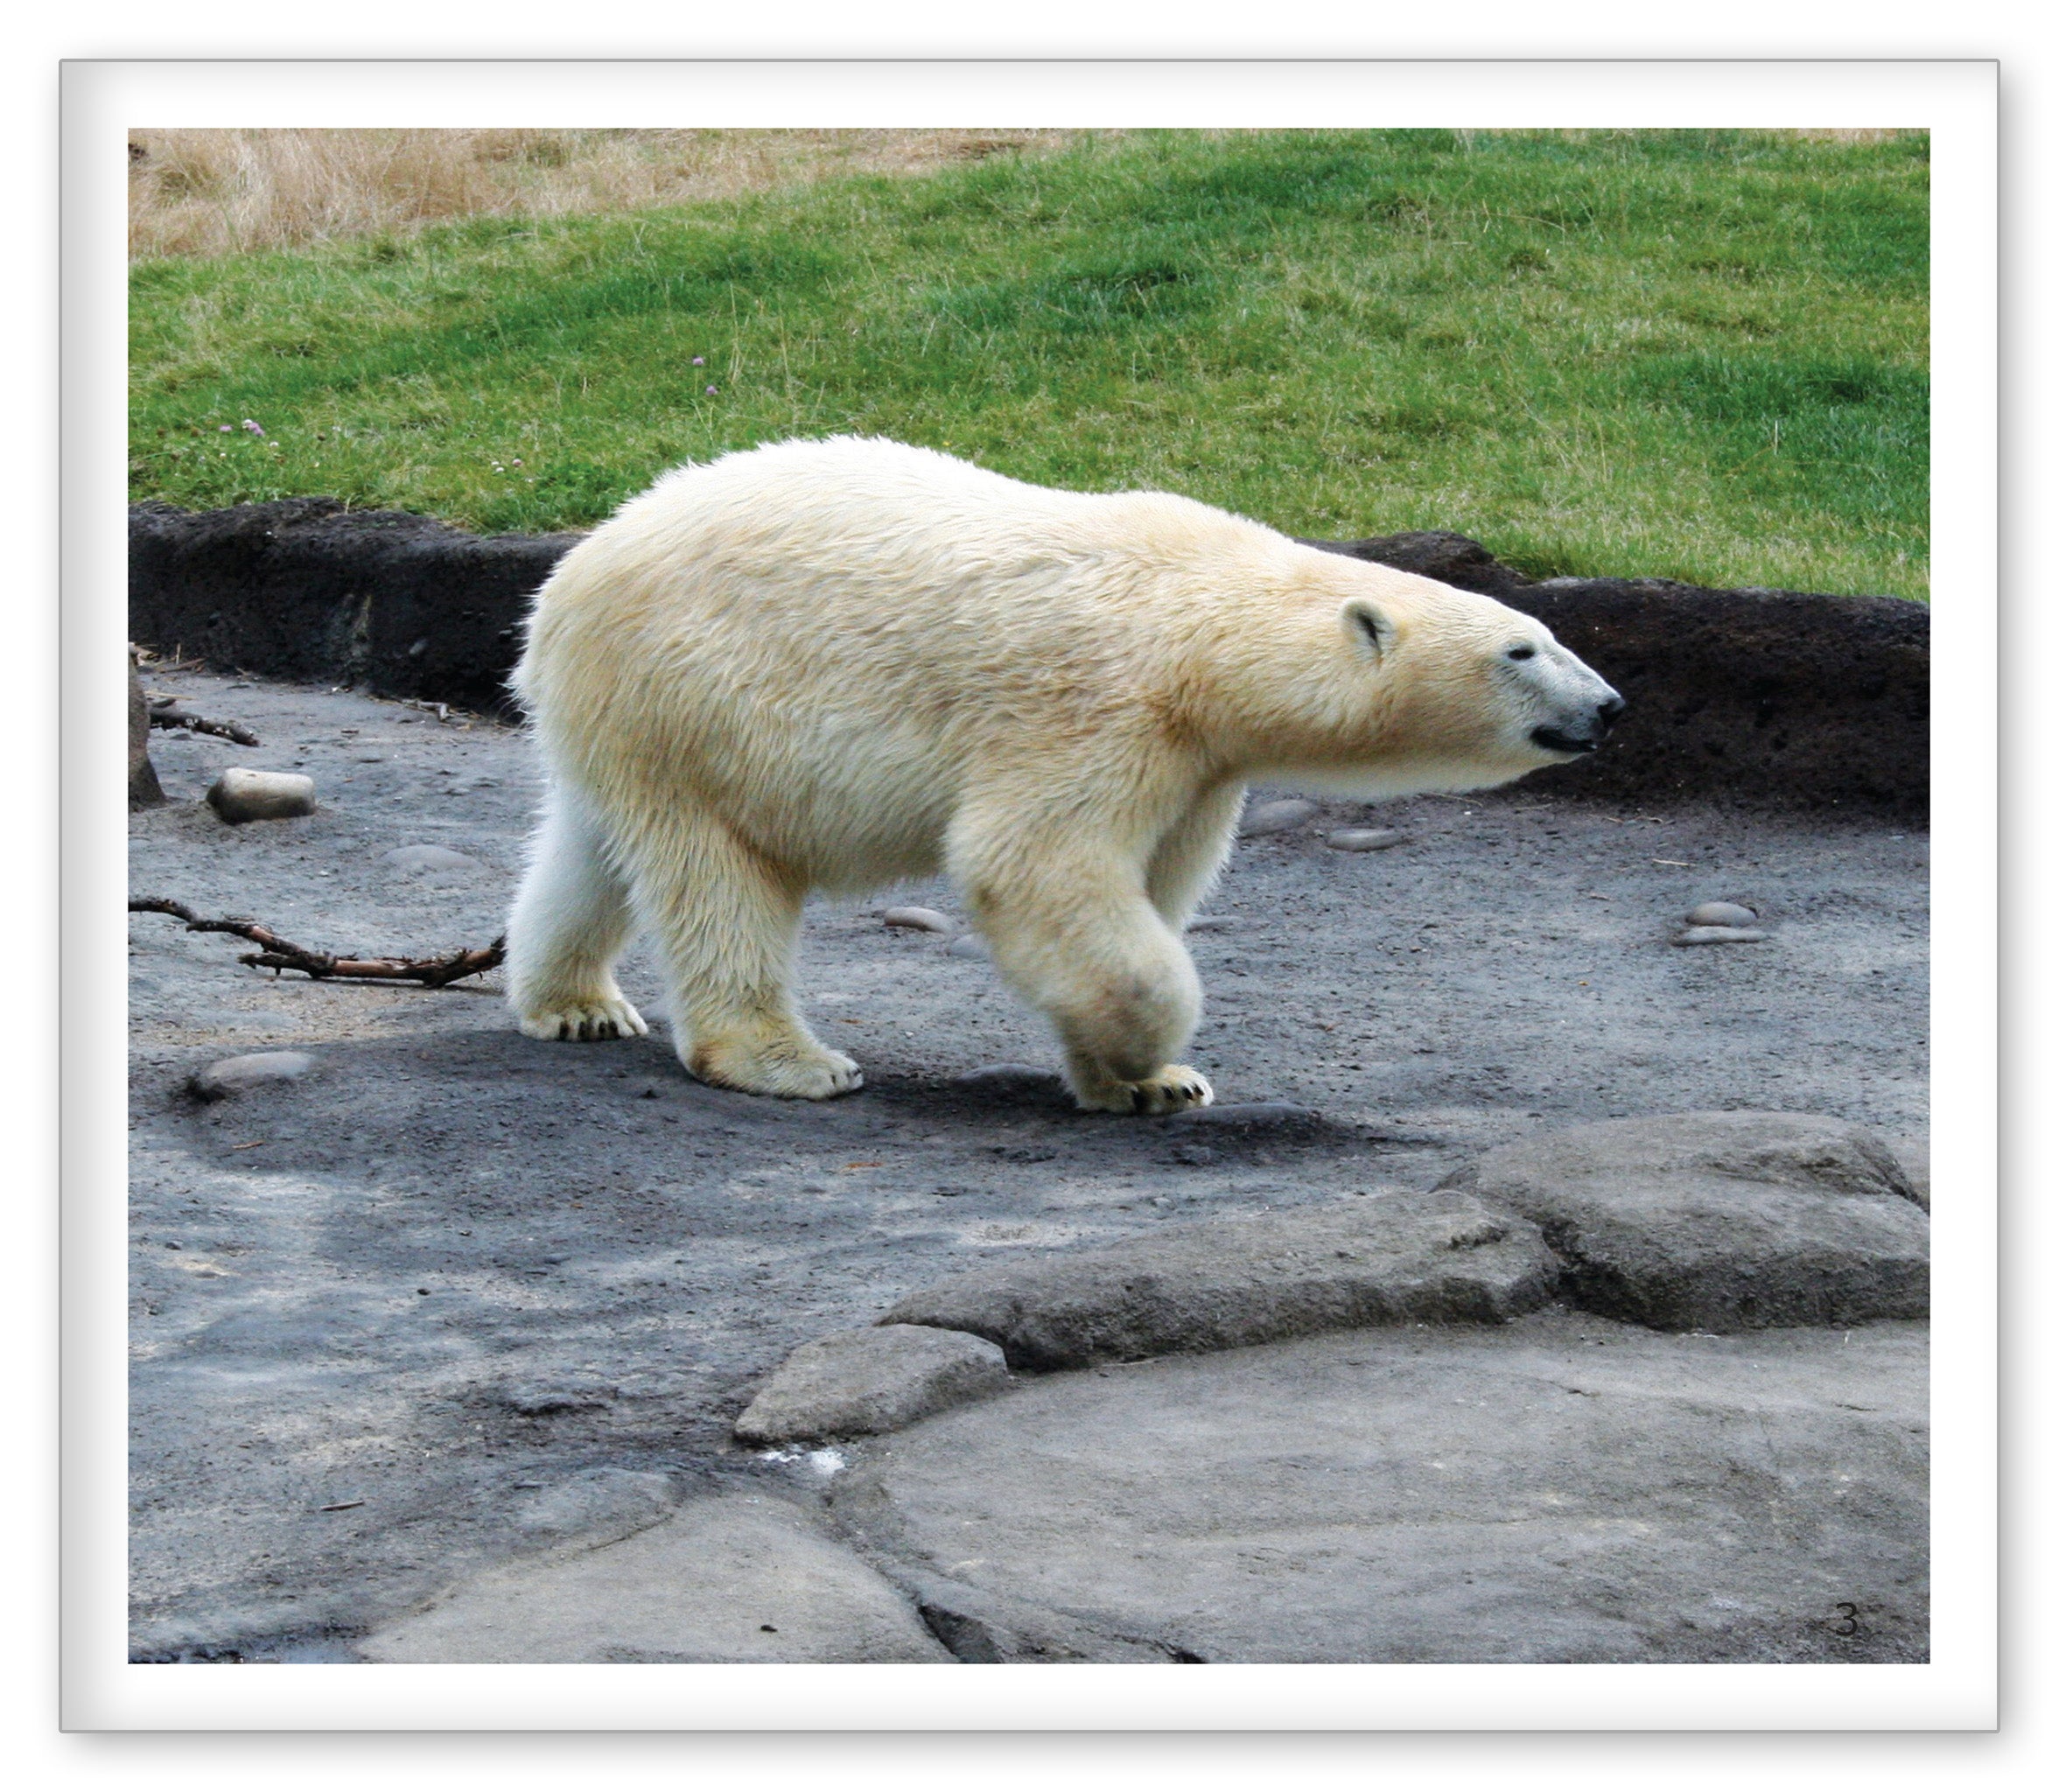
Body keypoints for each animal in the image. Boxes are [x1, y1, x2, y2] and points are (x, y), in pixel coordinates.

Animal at [505, 436, 1622, 1113]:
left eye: (1544, 632)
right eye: (1521, 648)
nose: (1609, 706)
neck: (1199, 620)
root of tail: (569, 578)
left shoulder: (1198, 767)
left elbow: (1151, 881)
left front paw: (1144, 1081)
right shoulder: (1096, 704)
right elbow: (1037, 862)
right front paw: (1149, 1048)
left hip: (630, 719)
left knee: (591, 847)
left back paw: (575, 1001)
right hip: (698, 694)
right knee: (719, 872)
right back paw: (789, 1059)